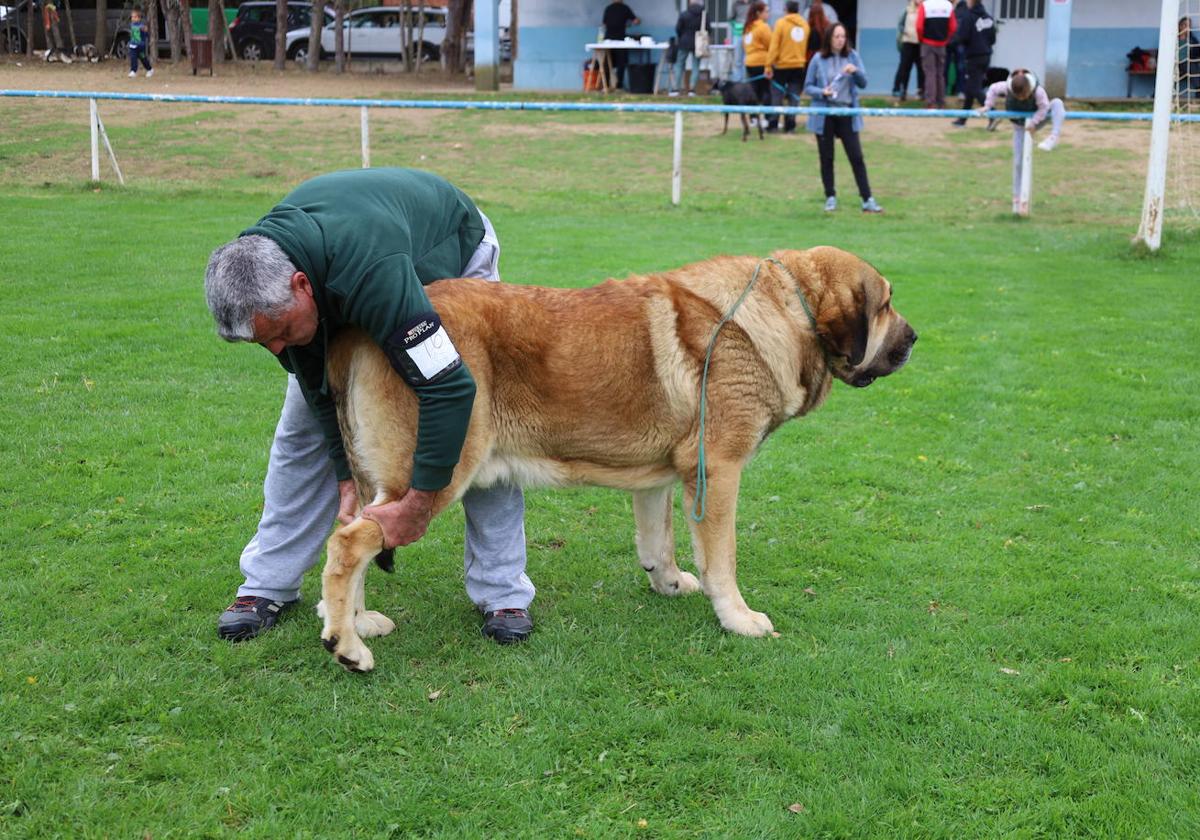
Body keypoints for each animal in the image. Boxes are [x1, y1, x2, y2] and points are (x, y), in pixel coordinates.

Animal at [319, 246, 916, 672]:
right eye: (886, 304)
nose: (914, 338)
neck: (786, 309)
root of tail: (360, 330)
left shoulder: (659, 479)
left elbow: (659, 543)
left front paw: (669, 584)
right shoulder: (719, 470)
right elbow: (722, 559)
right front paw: (738, 619)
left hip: (384, 482)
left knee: (348, 531)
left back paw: (355, 621)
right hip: (432, 478)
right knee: (350, 544)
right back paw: (348, 648)